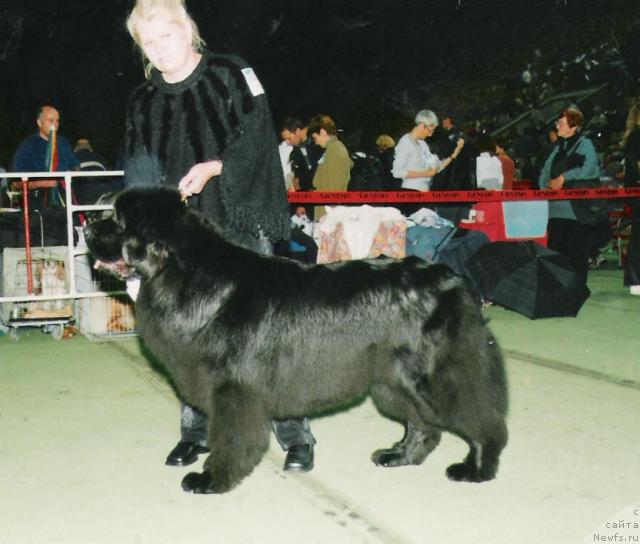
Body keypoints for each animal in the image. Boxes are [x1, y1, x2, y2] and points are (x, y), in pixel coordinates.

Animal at [85, 189, 508, 496]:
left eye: (117, 220)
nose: (87, 228)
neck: (185, 274)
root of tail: (453, 278)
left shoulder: (231, 388)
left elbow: (228, 435)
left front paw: (213, 479)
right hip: (394, 377)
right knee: (423, 423)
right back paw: (399, 456)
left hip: (438, 373)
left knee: (480, 418)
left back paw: (476, 469)